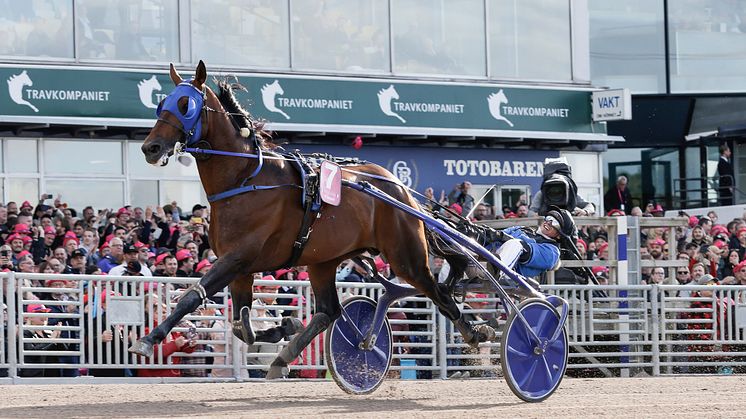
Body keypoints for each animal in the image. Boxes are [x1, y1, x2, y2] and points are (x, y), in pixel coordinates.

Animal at [129, 61, 488, 380]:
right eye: (162, 103)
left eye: (185, 104)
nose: (150, 147)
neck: (246, 177)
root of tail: (399, 188)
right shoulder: (240, 266)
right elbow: (241, 326)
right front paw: (284, 326)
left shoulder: (238, 258)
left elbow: (194, 297)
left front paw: (147, 340)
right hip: (323, 260)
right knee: (329, 311)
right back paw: (284, 358)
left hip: (405, 256)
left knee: (438, 292)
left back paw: (474, 332)